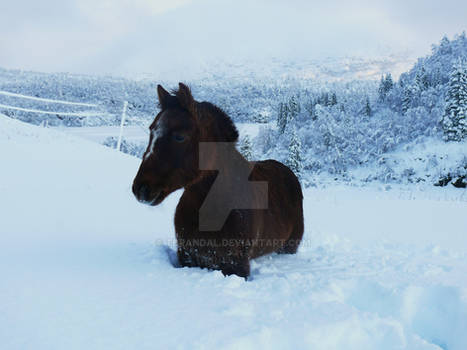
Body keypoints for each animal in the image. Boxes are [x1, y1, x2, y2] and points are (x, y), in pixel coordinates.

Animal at [133, 83, 306, 278]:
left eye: (179, 136)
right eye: (151, 130)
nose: (141, 188)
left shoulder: (237, 267)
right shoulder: (187, 258)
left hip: (289, 248)